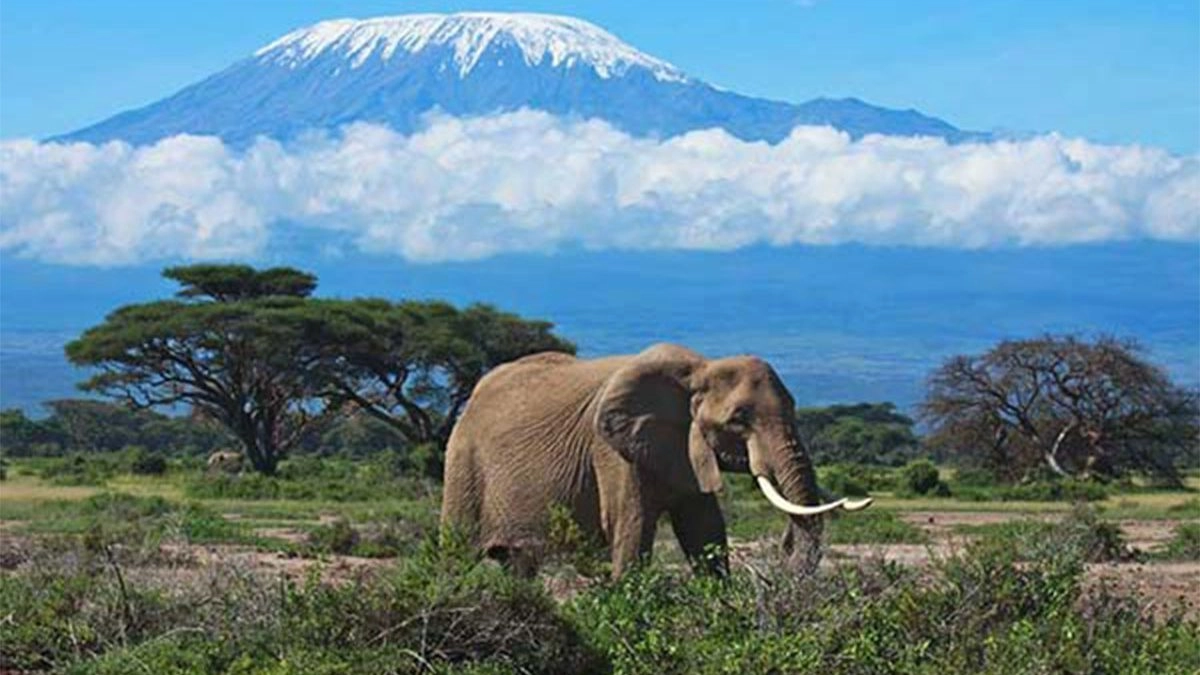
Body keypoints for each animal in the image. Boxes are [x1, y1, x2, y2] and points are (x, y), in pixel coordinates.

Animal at [440, 343, 871, 577]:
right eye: (738, 419)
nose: (783, 545)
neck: (699, 369)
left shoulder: (684, 448)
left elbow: (705, 531)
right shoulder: (610, 451)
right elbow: (630, 530)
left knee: (519, 566)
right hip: (462, 462)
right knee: (456, 553)